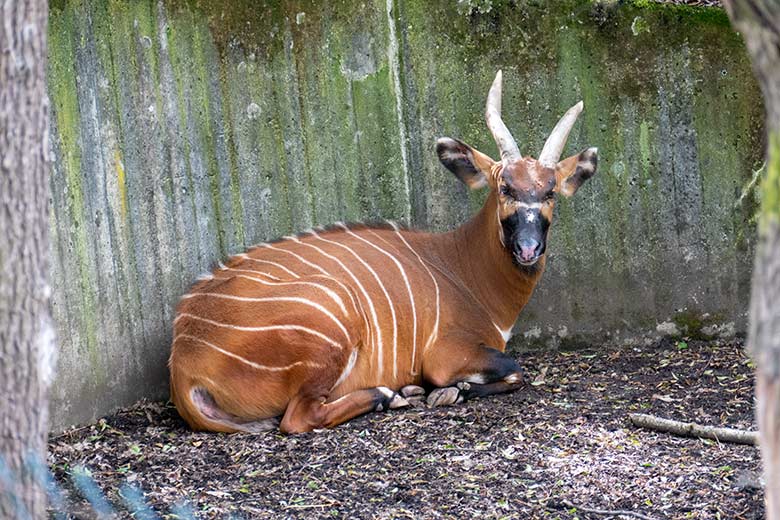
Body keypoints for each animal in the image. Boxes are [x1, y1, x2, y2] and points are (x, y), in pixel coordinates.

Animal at [169, 71, 596, 432]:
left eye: (550, 192)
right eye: (504, 187)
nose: (528, 248)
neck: (461, 266)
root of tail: (184, 368)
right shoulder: (444, 355)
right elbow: (512, 370)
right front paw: (447, 392)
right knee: (298, 417)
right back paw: (390, 394)